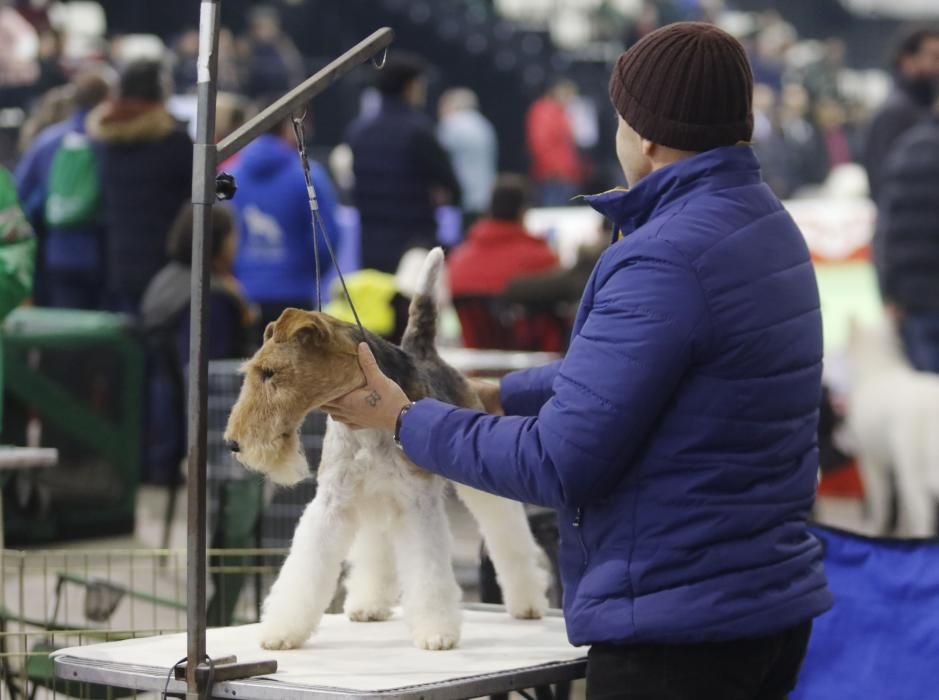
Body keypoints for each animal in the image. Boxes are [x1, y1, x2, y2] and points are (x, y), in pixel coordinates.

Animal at [840, 320, 939, 540]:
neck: (879, 369)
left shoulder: (870, 460)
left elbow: (880, 501)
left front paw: (874, 528)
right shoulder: (895, 465)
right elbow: (901, 507)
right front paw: (901, 531)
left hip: (914, 476)